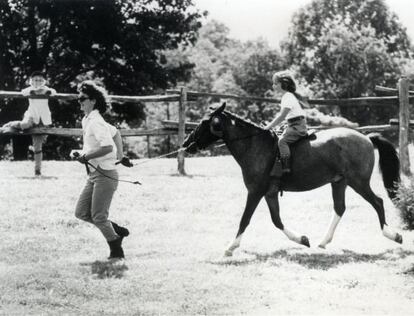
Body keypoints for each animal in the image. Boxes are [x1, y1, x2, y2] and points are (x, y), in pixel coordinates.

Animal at [184, 103, 402, 256]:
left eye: (204, 123)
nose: (186, 144)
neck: (255, 145)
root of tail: (367, 138)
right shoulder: (270, 193)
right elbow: (277, 220)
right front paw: (302, 239)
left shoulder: (255, 192)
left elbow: (245, 219)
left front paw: (230, 247)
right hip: (339, 182)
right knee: (340, 208)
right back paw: (323, 241)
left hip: (358, 182)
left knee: (378, 202)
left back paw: (393, 235)